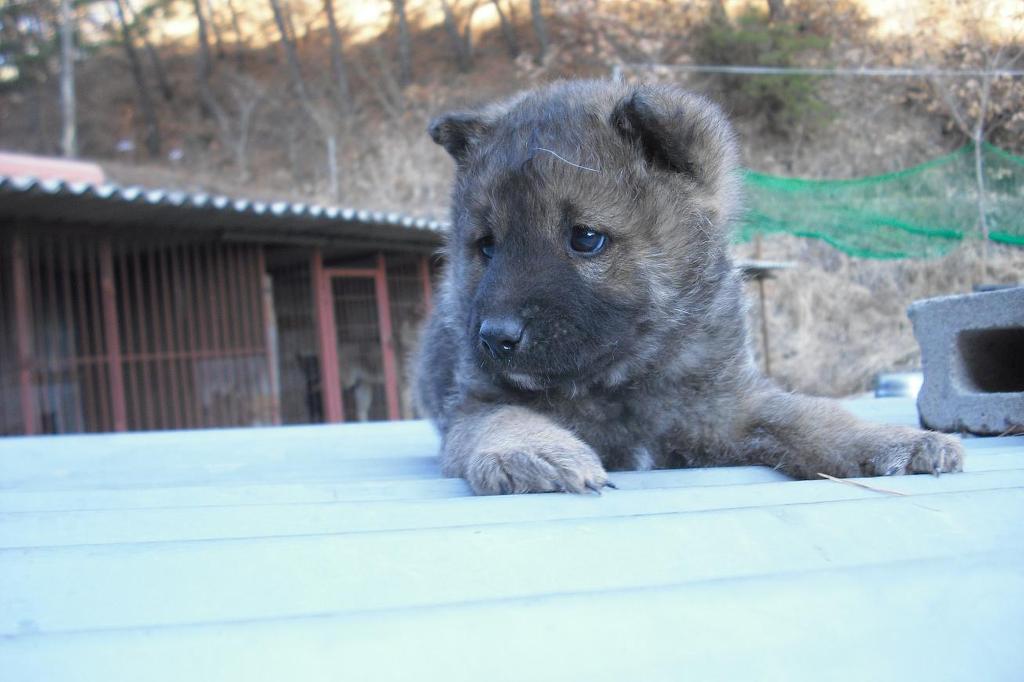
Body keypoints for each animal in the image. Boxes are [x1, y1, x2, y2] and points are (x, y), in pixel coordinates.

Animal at [413, 79, 963, 495]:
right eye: (486, 247)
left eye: (585, 238)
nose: (494, 337)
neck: (624, 382)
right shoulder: (475, 404)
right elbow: (503, 419)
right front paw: (533, 451)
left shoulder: (731, 407)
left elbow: (813, 416)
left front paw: (892, 440)